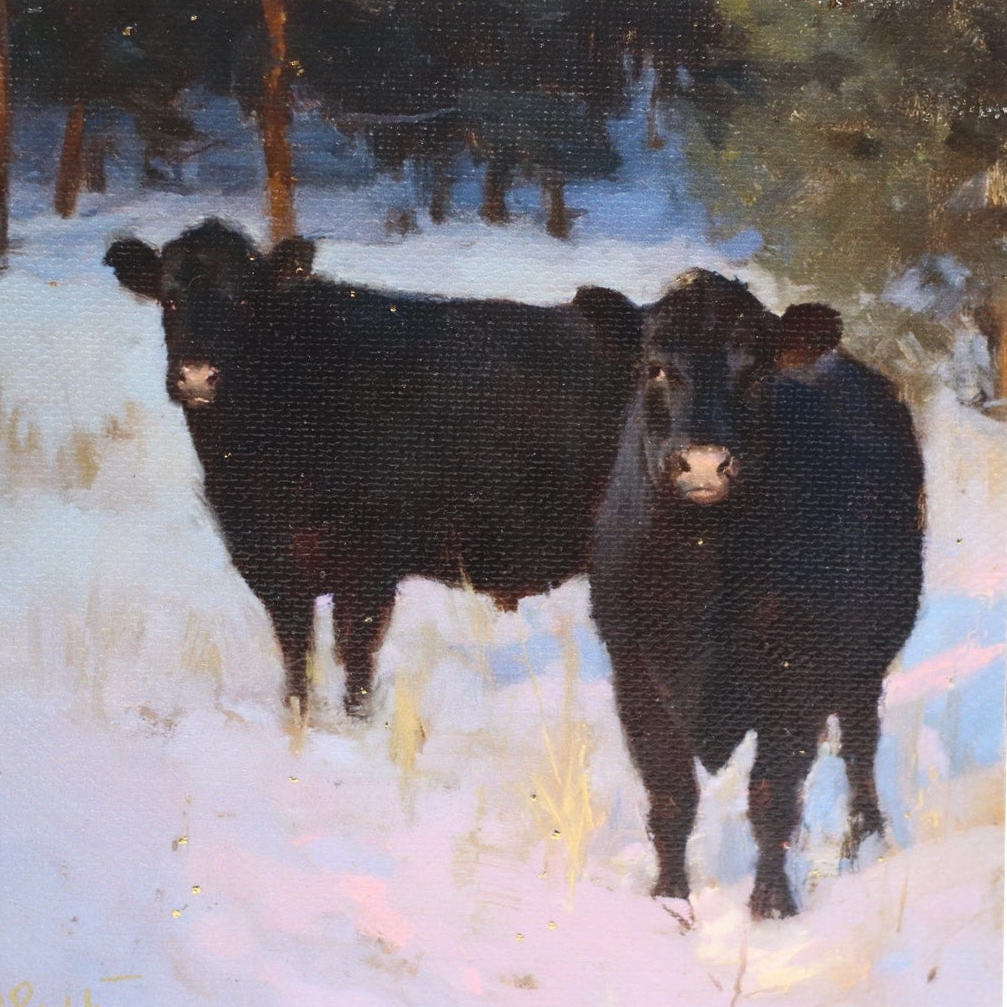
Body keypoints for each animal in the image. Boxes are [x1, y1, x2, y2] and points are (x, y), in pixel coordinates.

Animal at [104, 219, 641, 718]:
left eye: (246, 303)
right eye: (170, 300)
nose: (197, 377)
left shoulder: (367, 566)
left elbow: (356, 661)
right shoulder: (271, 564)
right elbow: (296, 658)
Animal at [590, 269, 924, 921]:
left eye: (757, 370)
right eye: (656, 366)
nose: (703, 463)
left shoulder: (798, 675)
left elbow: (773, 794)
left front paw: (771, 906)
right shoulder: (634, 673)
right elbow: (671, 795)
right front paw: (670, 904)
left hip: (866, 661)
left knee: (860, 746)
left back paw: (866, 841)